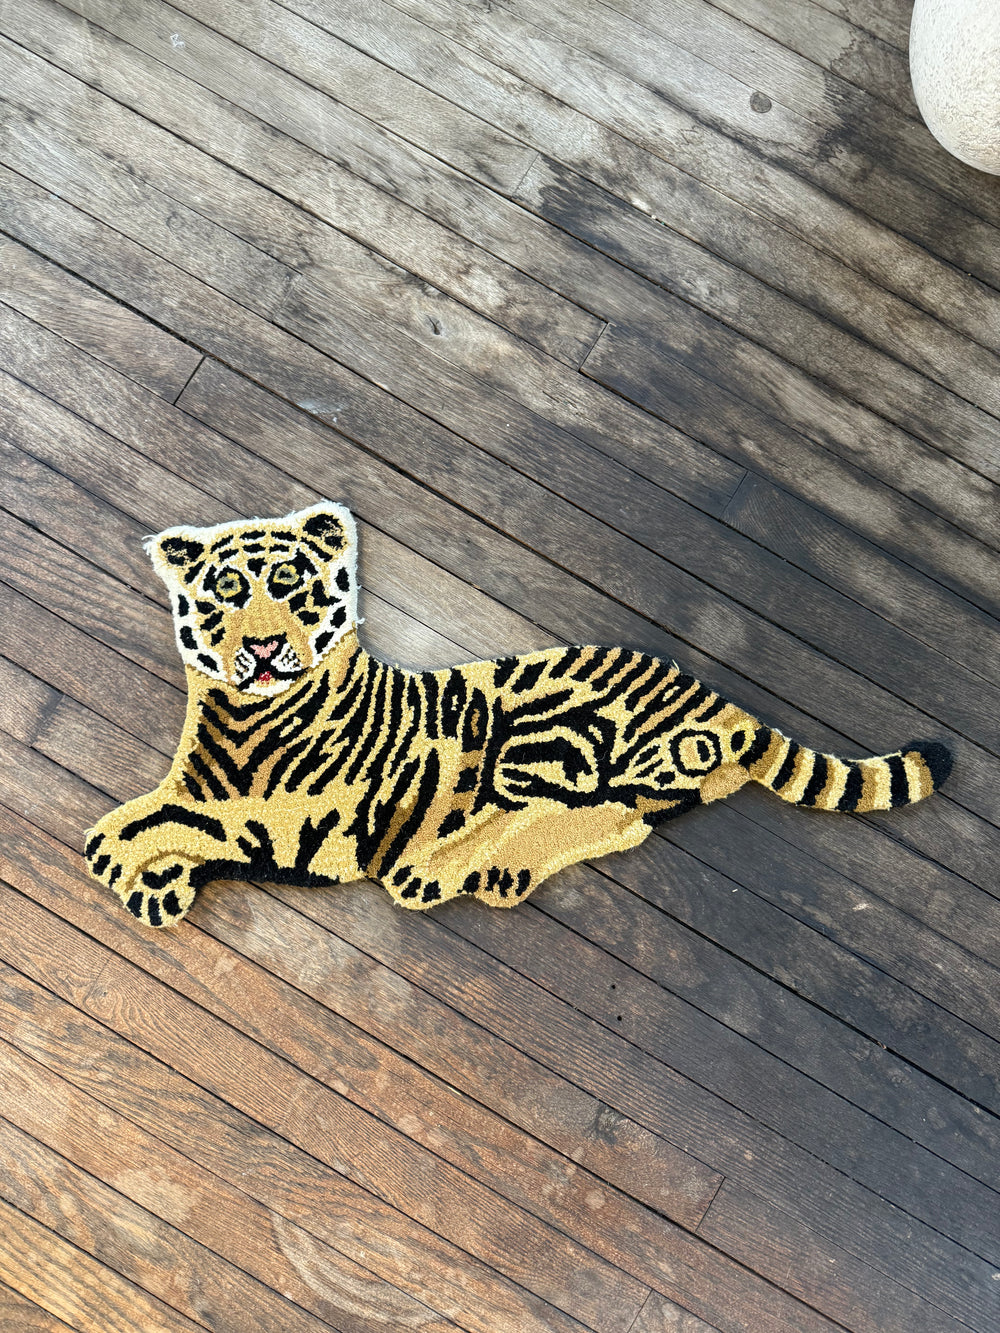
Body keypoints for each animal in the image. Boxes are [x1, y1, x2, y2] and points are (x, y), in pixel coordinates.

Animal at [84, 502, 953, 928]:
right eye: (227, 593)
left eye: (292, 589)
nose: (263, 649)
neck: (240, 713)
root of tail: (714, 695)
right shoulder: (204, 787)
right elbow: (136, 819)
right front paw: (142, 872)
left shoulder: (289, 822)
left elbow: (161, 828)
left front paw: (150, 878)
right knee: (622, 818)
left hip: (540, 732)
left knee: (576, 812)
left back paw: (447, 867)